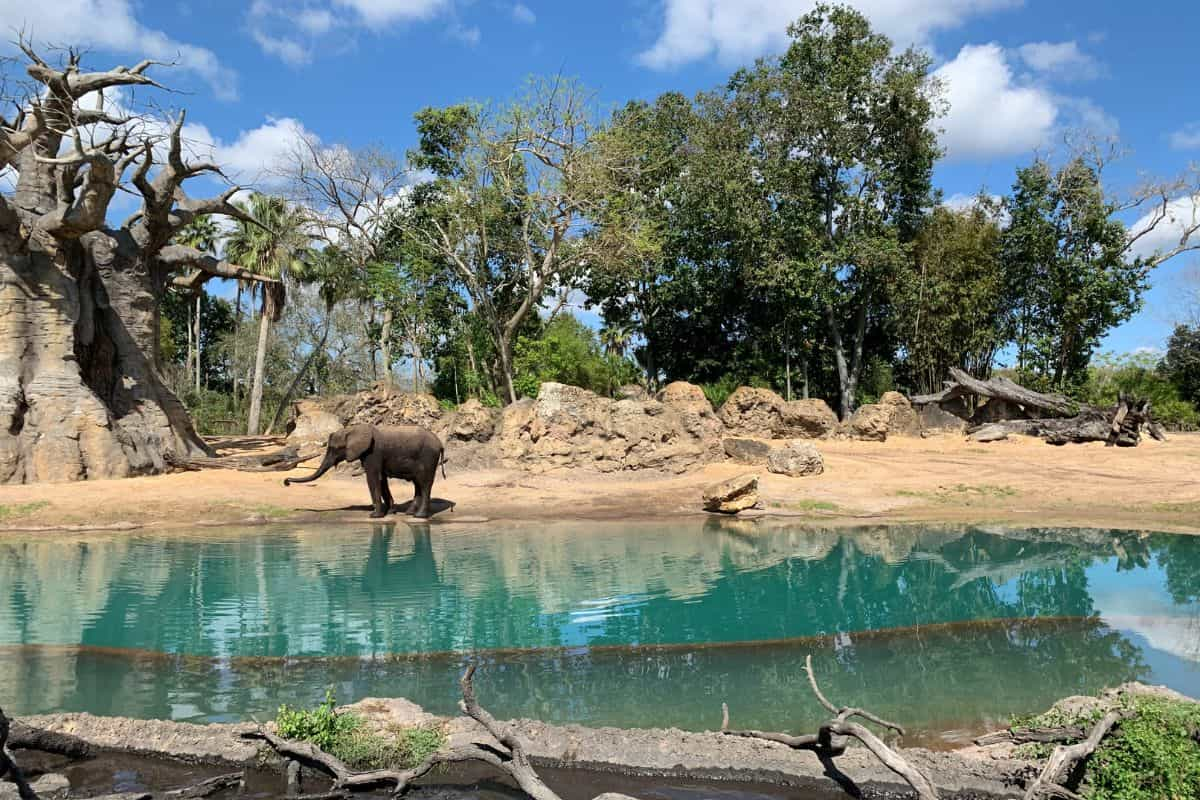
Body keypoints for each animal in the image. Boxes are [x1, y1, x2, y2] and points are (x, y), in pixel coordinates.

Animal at [284, 424, 446, 520]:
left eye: (334, 449)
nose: (286, 482)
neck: (353, 429)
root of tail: (440, 444)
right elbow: (382, 480)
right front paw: (389, 512)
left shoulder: (373, 453)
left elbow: (373, 478)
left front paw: (374, 515)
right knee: (418, 483)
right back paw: (410, 513)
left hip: (428, 457)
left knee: (424, 483)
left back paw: (419, 516)